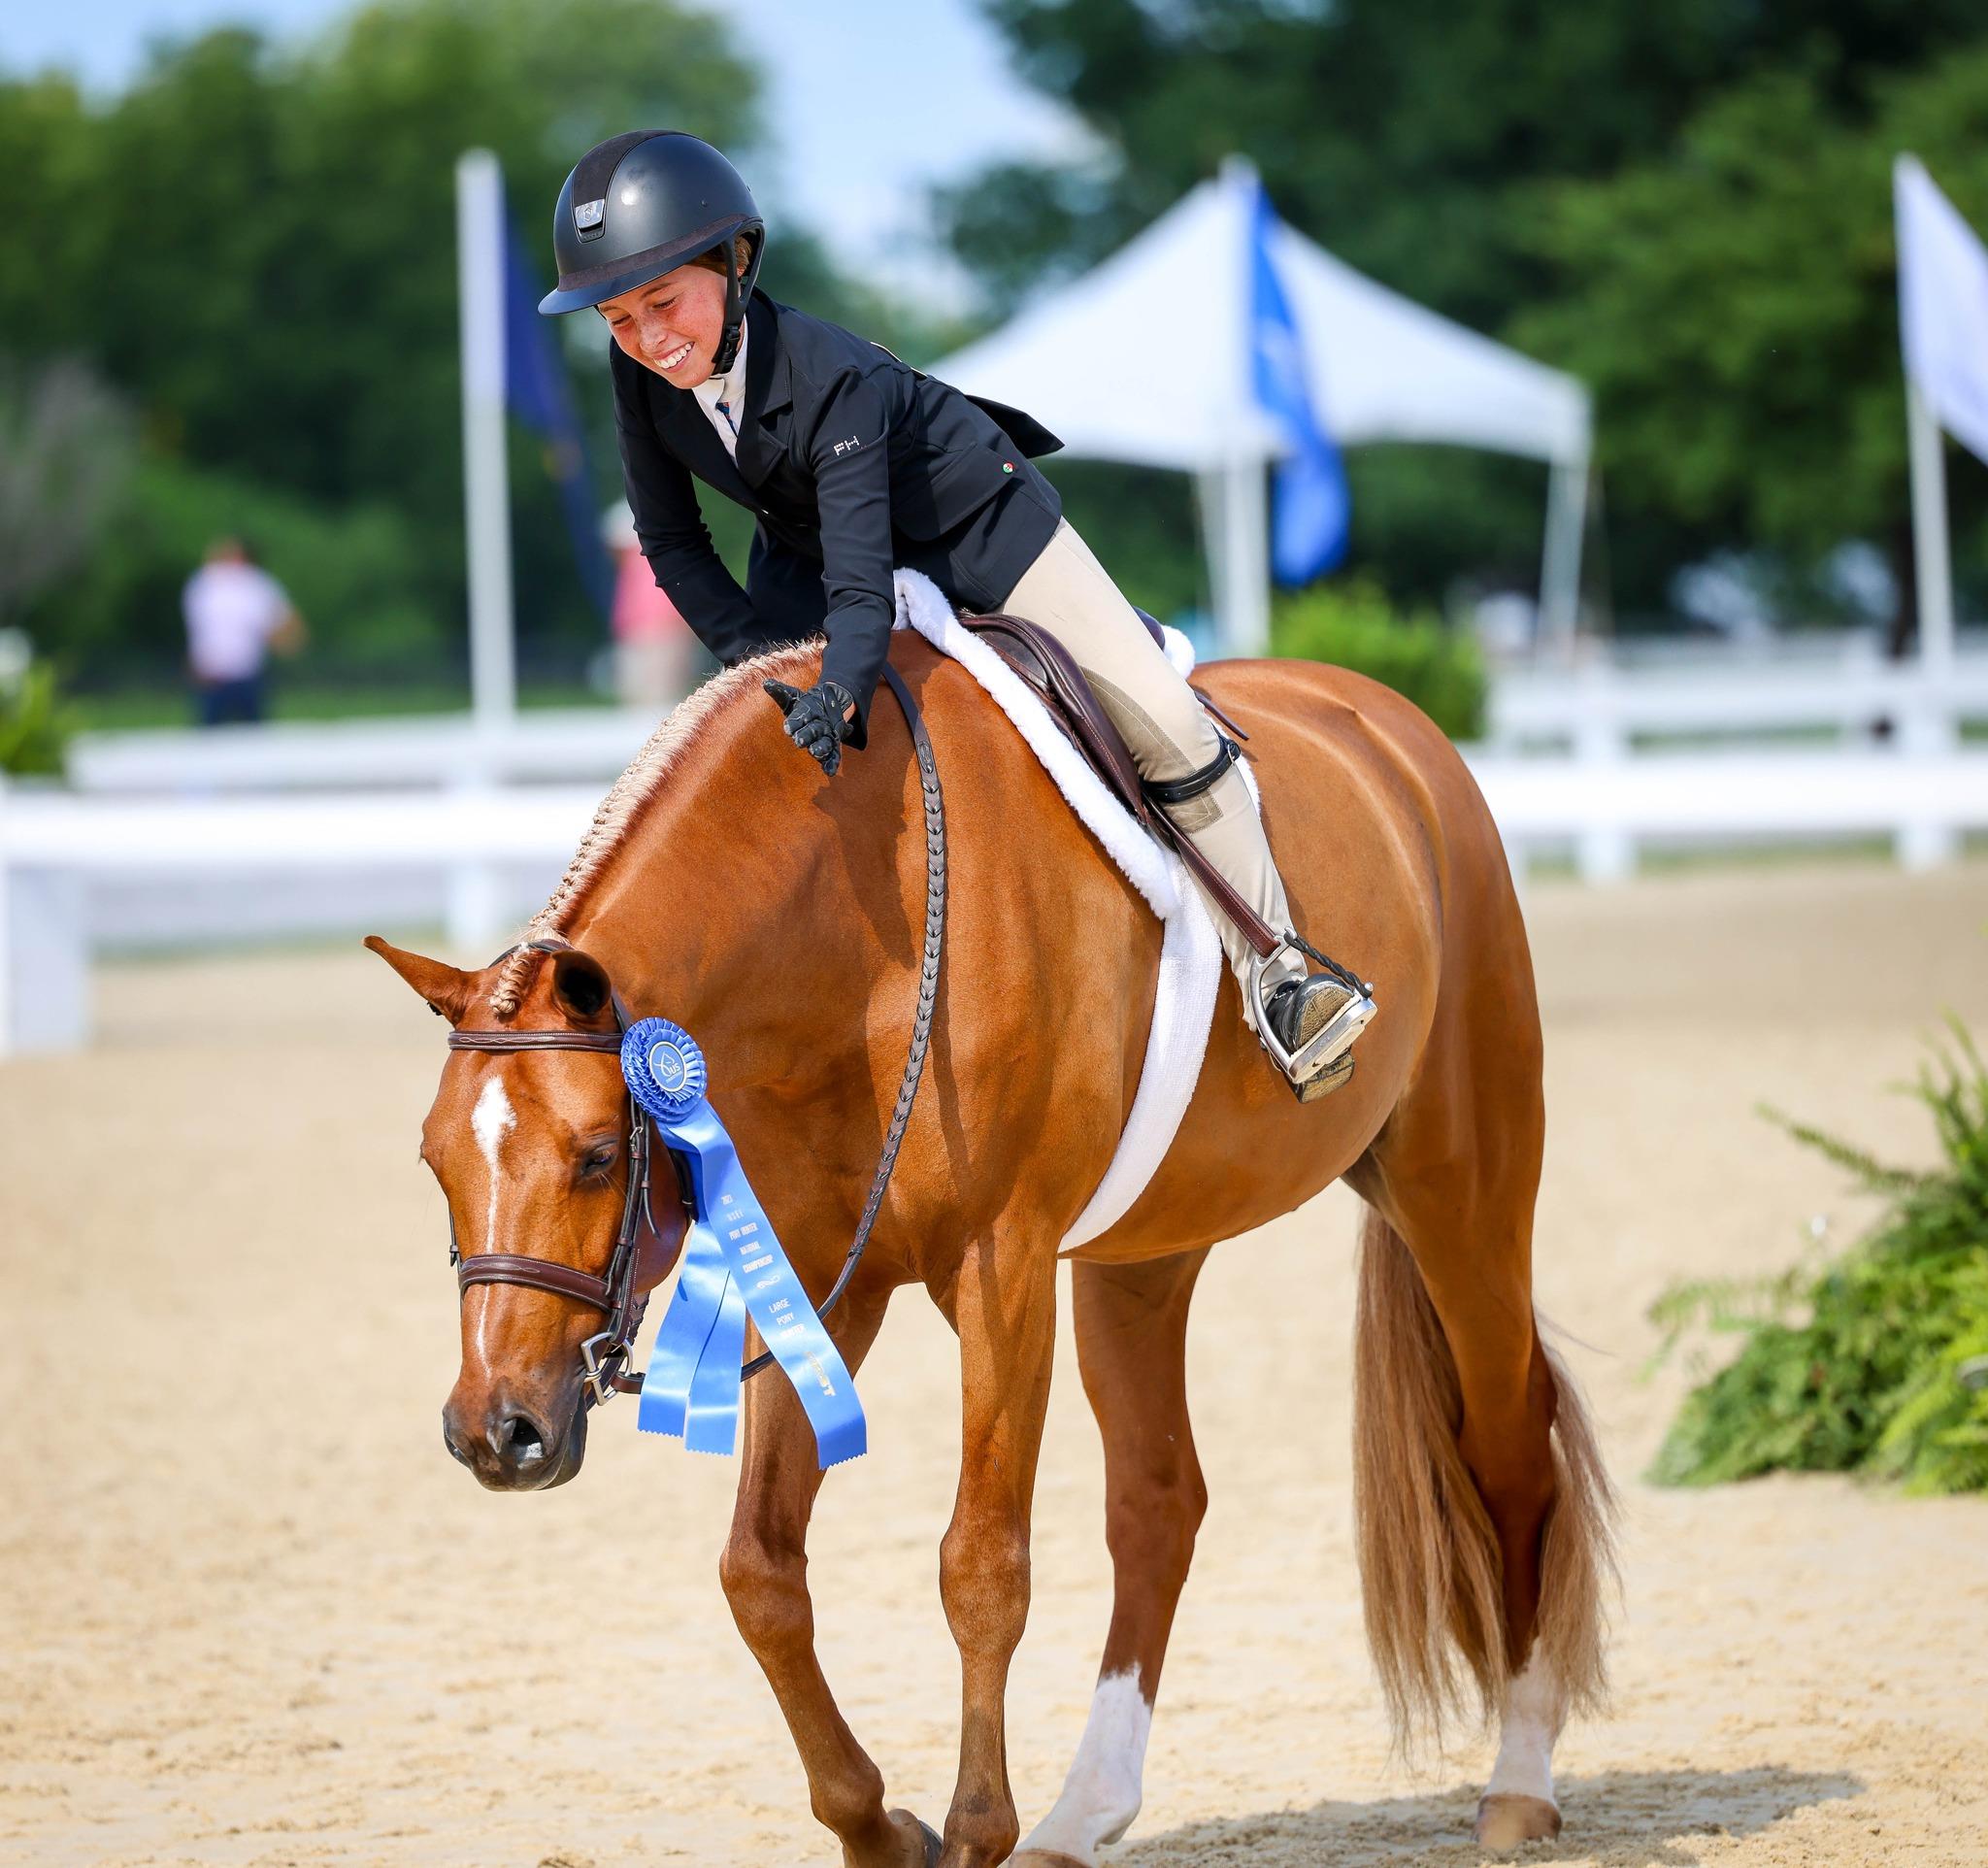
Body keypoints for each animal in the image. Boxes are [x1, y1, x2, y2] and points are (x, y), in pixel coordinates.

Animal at [369, 628, 1615, 1868]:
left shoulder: (999, 1270)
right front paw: (878, 1825)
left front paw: (974, 1831)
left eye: (592, 1157)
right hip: (1141, 1257)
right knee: (1156, 1502)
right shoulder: (820, 1276)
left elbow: (979, 1563)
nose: (496, 1432)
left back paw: (1517, 1780)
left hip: (1458, 1190)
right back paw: (1081, 1813)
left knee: (1509, 1445)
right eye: (432, 1163)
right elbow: (758, 1568)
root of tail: (1386, 723)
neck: (855, 920)